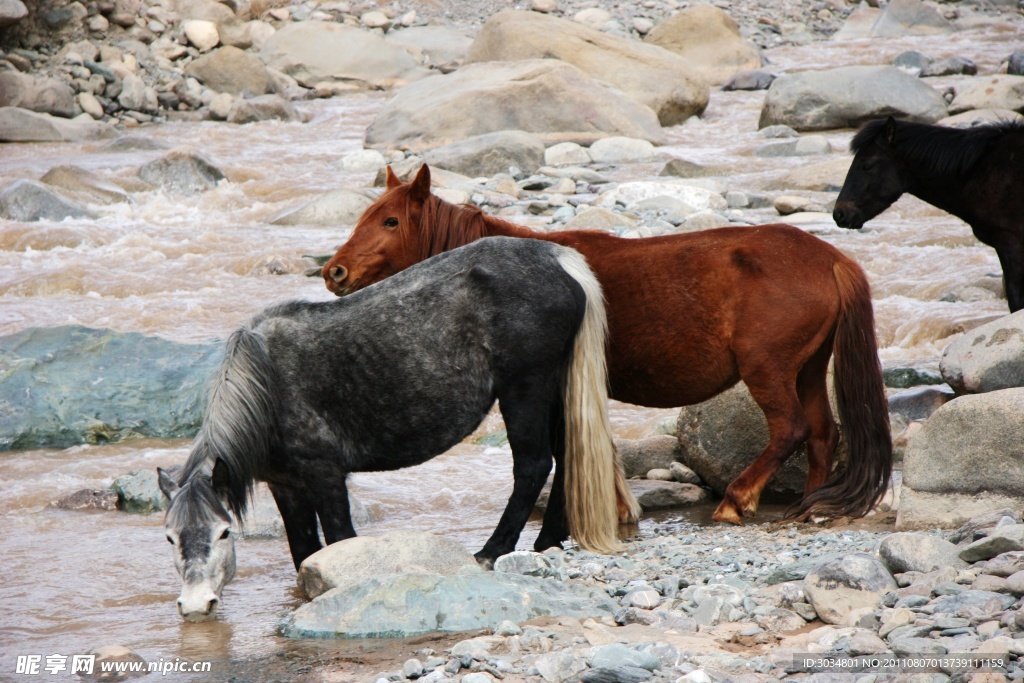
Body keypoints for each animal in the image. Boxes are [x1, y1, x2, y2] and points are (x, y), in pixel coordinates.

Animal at [157, 237, 638, 622]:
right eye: (170, 537)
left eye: (224, 533)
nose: (196, 605)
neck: (268, 382)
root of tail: (558, 259)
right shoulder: (286, 486)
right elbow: (304, 550)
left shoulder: (325, 476)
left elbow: (339, 540)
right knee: (567, 457)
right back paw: (547, 543)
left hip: (526, 389)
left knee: (534, 466)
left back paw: (490, 552)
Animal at [319, 165, 888, 524]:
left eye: (390, 220)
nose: (334, 271)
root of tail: (830, 259)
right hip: (807, 368)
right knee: (822, 434)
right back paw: (809, 504)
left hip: (767, 369)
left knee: (791, 429)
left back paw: (737, 501)